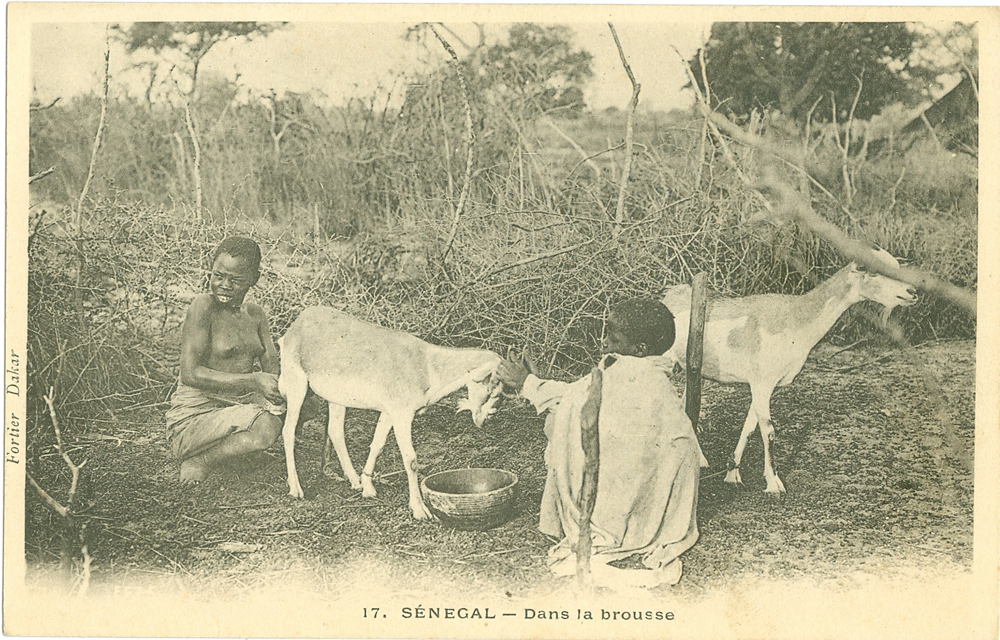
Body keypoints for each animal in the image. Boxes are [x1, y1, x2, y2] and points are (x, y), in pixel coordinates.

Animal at [280, 306, 500, 520]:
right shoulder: (402, 414)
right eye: (491, 387)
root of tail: (298, 324)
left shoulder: (388, 412)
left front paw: (368, 487)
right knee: (288, 430)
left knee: (335, 431)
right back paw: (296, 489)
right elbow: (411, 460)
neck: (426, 364)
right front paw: (420, 510)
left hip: (336, 398)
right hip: (297, 385)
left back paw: (354, 481)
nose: (484, 419)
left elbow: (377, 445)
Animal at [660, 250, 916, 496]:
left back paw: (701, 460)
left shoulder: (764, 385)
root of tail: (667, 295)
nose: (911, 291)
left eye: (896, 265)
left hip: (692, 369)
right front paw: (774, 484)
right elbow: (769, 430)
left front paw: (733, 474)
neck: (796, 319)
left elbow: (750, 427)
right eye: (873, 270)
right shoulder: (762, 381)